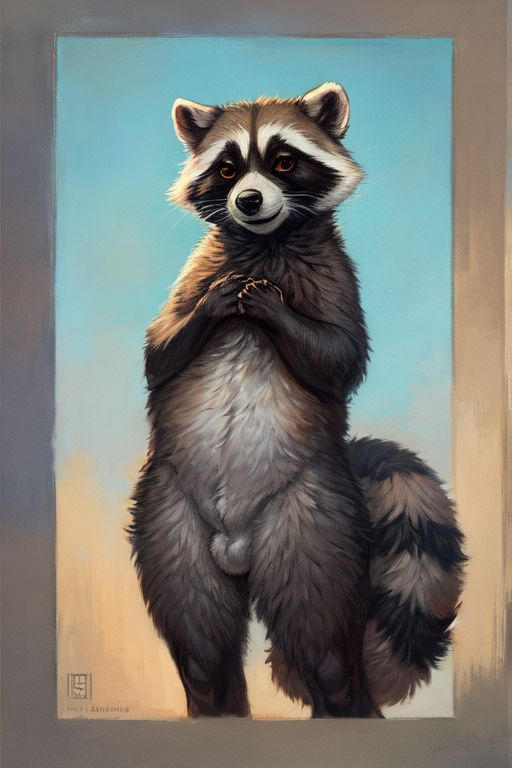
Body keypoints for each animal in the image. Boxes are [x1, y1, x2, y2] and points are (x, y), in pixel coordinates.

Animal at [128, 83, 466, 718]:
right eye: (228, 167)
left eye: (283, 162)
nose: (248, 200)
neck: (264, 243)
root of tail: (237, 547)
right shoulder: (195, 274)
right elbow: (159, 352)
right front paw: (211, 309)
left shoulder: (335, 278)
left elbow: (338, 360)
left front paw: (275, 311)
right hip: (170, 523)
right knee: (202, 653)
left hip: (312, 527)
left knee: (328, 657)